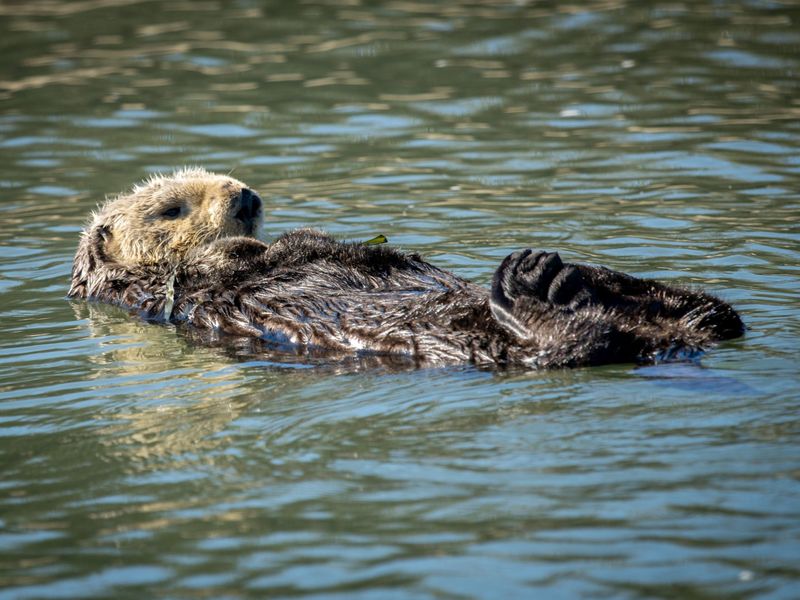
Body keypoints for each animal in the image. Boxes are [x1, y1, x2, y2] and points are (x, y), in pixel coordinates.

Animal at [69, 166, 744, 368]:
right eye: (170, 208)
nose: (246, 198)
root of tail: (662, 341)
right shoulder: (178, 288)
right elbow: (256, 259)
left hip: (682, 317)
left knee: (715, 315)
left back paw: (573, 272)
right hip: (477, 340)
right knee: (571, 344)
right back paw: (526, 285)